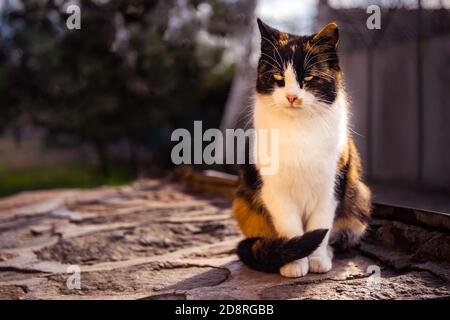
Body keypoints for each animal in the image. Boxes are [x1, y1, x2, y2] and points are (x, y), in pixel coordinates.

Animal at [234, 19, 370, 278]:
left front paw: (317, 261)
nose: (291, 97)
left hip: (359, 198)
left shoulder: (330, 187)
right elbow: (291, 228)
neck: (299, 128)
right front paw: (294, 264)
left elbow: (321, 226)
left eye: (308, 78)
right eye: (278, 76)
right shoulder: (275, 191)